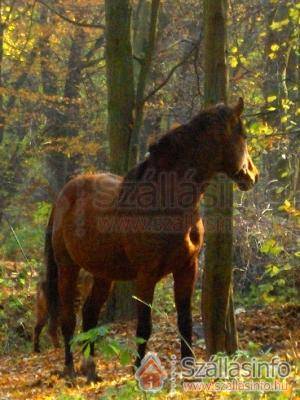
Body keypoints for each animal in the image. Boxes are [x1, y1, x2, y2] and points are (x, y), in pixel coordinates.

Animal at [44, 97, 258, 382]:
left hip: (103, 273)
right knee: (68, 317)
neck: (164, 200)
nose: (253, 175)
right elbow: (144, 325)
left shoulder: (187, 268)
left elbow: (185, 319)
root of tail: (63, 195)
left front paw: (189, 367)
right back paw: (69, 368)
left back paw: (91, 369)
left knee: (90, 314)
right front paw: (138, 370)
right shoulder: (146, 276)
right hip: (67, 267)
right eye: (243, 135)